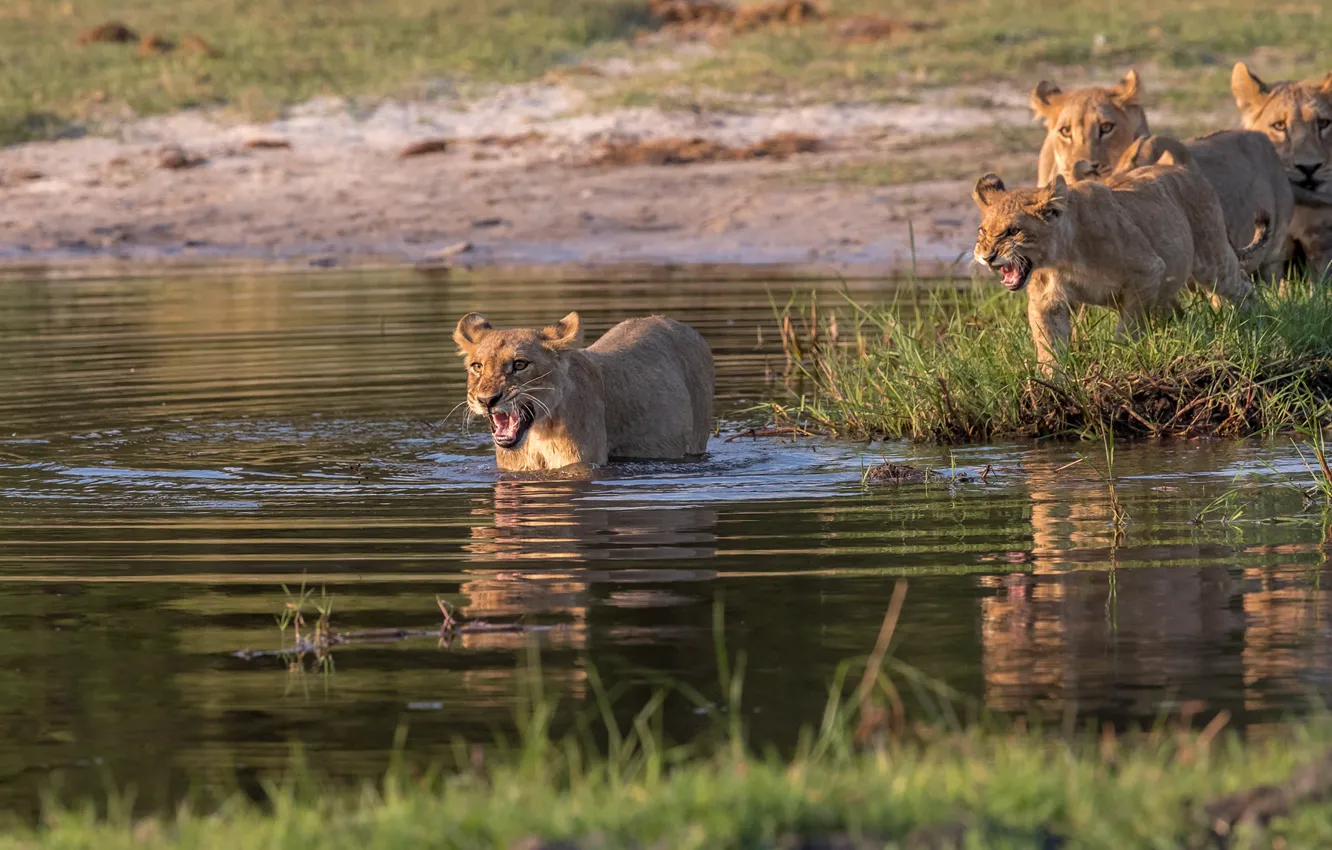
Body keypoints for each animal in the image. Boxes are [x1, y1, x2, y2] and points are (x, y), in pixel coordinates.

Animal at [453, 312, 714, 472]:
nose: (487, 400)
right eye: (478, 366)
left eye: (519, 364)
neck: (538, 433)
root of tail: (681, 324)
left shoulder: (582, 465)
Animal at [972, 165, 1262, 367]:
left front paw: (1121, 354)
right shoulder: (1047, 300)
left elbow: (1129, 326)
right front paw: (1049, 385)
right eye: (983, 231)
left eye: (1013, 231)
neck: (1063, 258)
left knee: (1242, 285)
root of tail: (1190, 172)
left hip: (1213, 260)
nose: (987, 256)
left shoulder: (1148, 271)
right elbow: (1049, 343)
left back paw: (1253, 323)